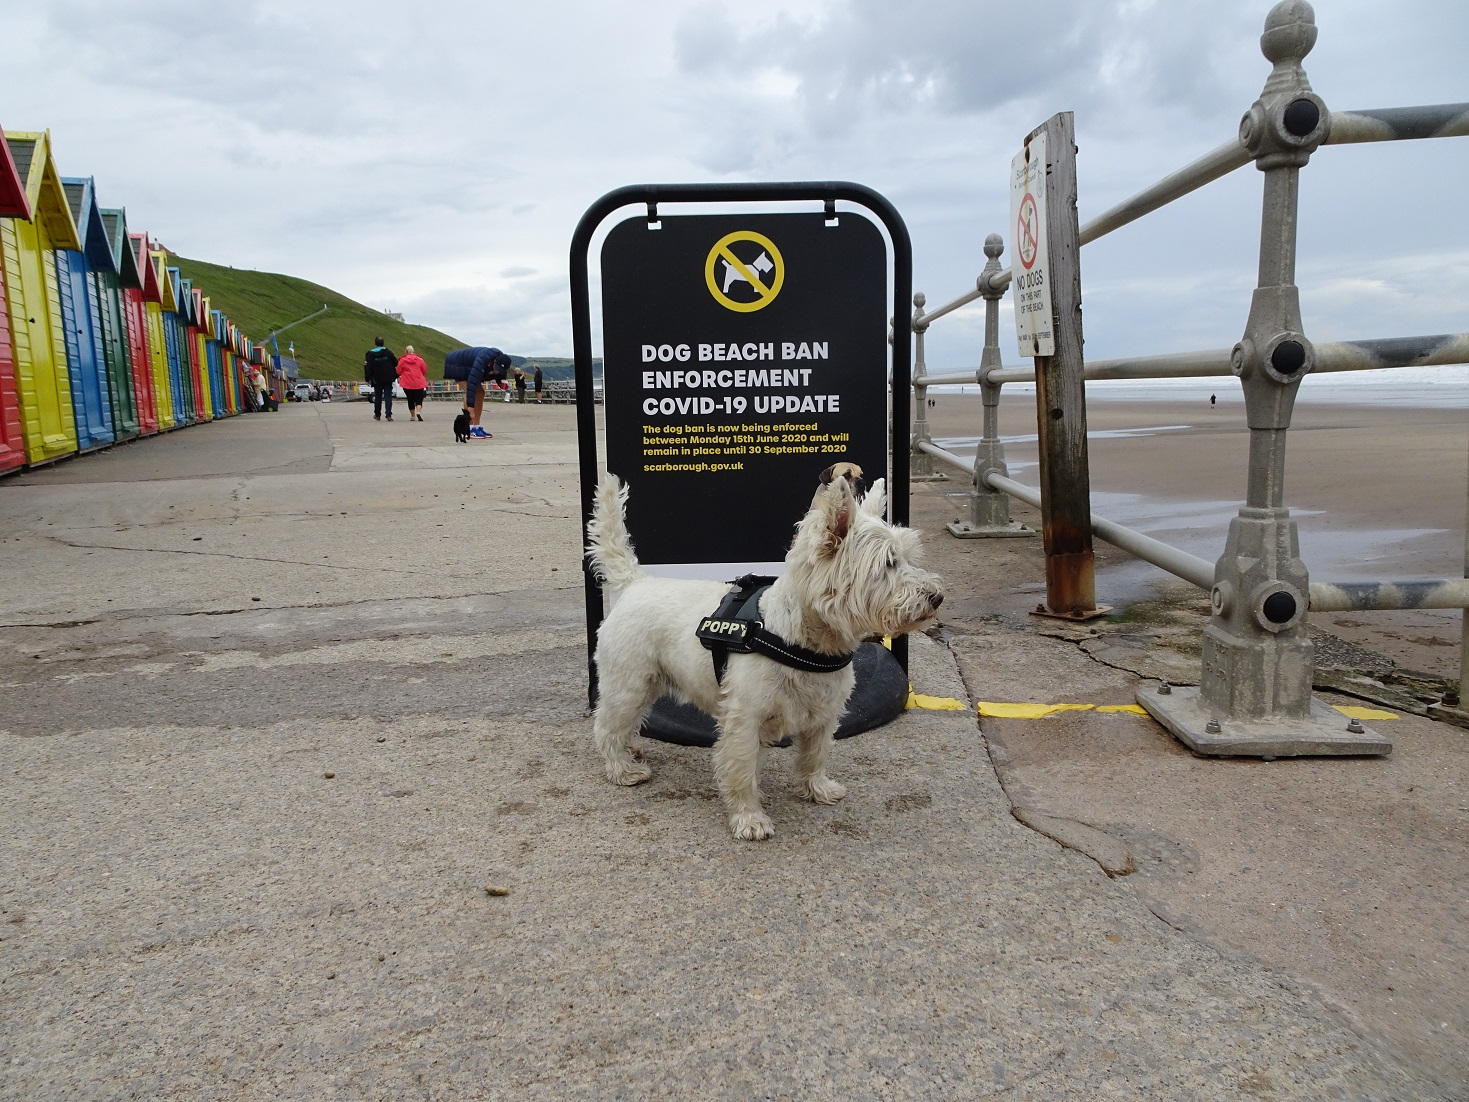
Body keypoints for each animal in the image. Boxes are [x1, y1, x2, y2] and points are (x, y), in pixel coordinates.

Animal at [581, 464, 940, 834]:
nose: (936, 597)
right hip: (629, 684)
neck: (806, 640)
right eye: (888, 563)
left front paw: (818, 789)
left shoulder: (824, 714)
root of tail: (636, 582)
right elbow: (741, 770)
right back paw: (622, 769)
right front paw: (749, 819)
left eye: (908, 558)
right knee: (606, 725)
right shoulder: (744, 719)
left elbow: (815, 755)